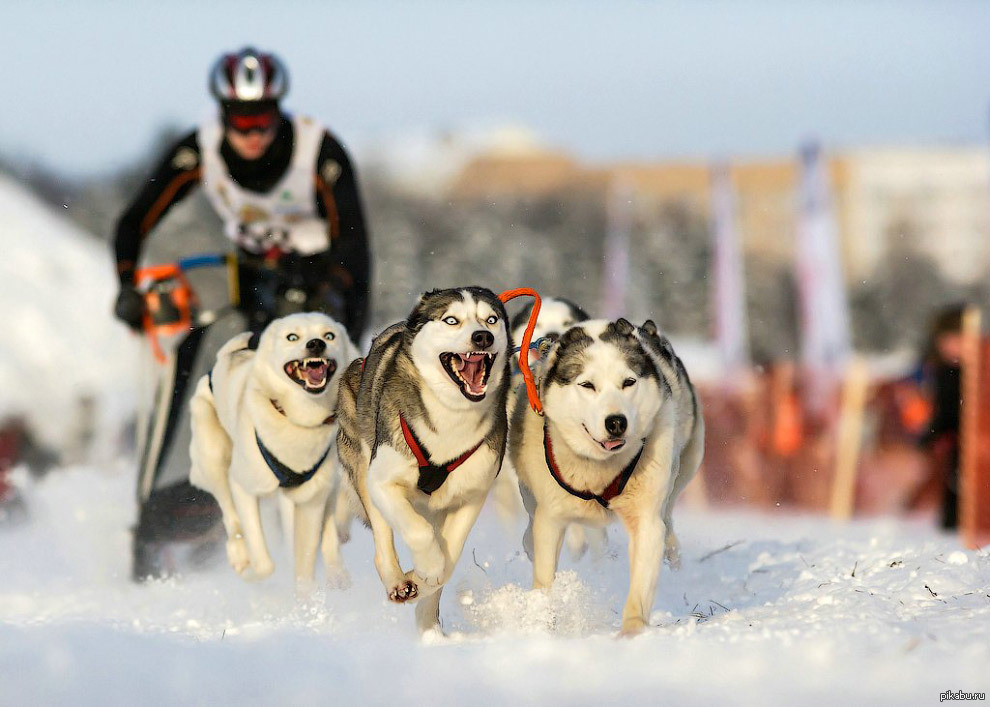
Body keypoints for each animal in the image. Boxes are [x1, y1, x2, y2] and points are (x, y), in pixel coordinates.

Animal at [188, 314, 358, 588]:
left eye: (329, 335)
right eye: (292, 337)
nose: (316, 344)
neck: (298, 419)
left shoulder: (310, 500)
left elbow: (305, 565)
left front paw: (309, 598)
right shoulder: (243, 485)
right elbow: (264, 562)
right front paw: (252, 570)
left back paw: (336, 573)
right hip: (214, 459)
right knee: (230, 516)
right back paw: (239, 556)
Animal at [340, 288, 512, 636]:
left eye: (491, 319)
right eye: (451, 320)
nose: (482, 337)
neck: (452, 415)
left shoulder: (472, 494)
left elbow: (450, 555)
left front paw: (426, 579)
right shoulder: (384, 480)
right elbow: (419, 534)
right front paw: (427, 568)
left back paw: (428, 624)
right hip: (365, 473)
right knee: (384, 540)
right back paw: (398, 582)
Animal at [512, 320, 704, 636]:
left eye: (628, 382)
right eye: (587, 385)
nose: (616, 422)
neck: (600, 470)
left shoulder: (646, 516)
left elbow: (641, 582)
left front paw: (631, 634)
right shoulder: (550, 518)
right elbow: (545, 575)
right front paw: (543, 622)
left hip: (684, 464)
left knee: (668, 517)